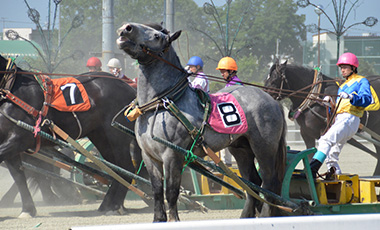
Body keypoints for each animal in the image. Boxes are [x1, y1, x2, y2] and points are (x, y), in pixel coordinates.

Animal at [0, 54, 145, 217]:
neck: (13, 92)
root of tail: (129, 89)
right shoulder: (10, 144)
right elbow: (19, 176)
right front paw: (28, 209)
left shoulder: (19, 140)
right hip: (101, 137)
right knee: (115, 170)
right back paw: (108, 204)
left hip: (116, 135)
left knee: (126, 167)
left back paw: (114, 205)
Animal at [117, 22, 286, 222]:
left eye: (157, 36)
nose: (126, 28)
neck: (161, 104)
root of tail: (272, 100)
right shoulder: (149, 157)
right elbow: (157, 191)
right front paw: (158, 219)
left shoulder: (172, 155)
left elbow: (171, 191)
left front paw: (174, 220)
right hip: (241, 149)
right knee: (252, 182)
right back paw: (246, 216)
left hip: (264, 148)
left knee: (268, 182)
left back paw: (267, 215)